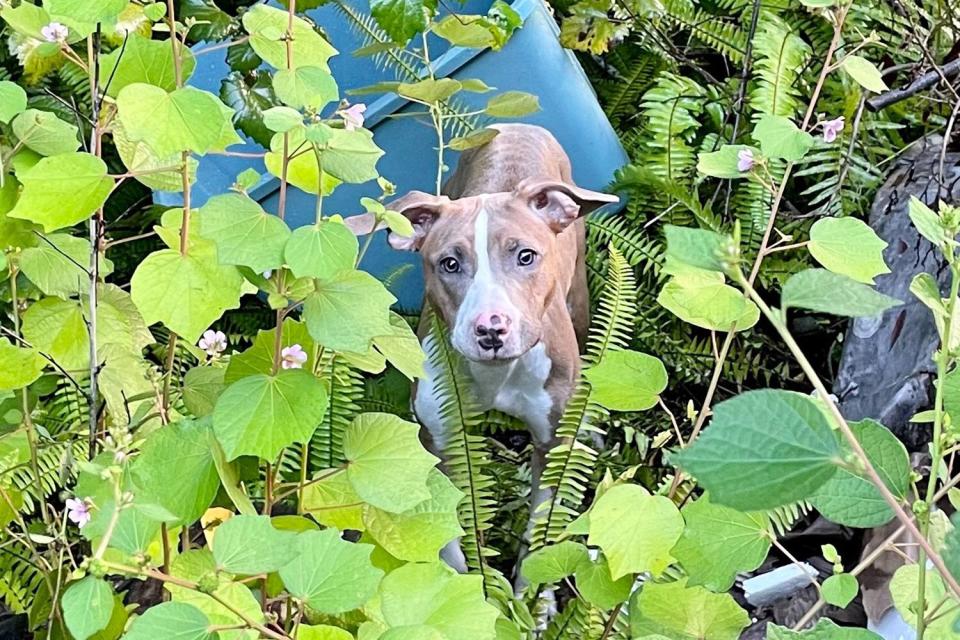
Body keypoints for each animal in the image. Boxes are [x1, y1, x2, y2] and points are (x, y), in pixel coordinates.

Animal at [348, 122, 620, 568]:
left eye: (526, 256)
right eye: (449, 263)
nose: (491, 329)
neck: (498, 375)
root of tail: (517, 124)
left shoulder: (551, 441)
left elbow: (539, 530)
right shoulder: (440, 441)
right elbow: (448, 541)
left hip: (578, 298)